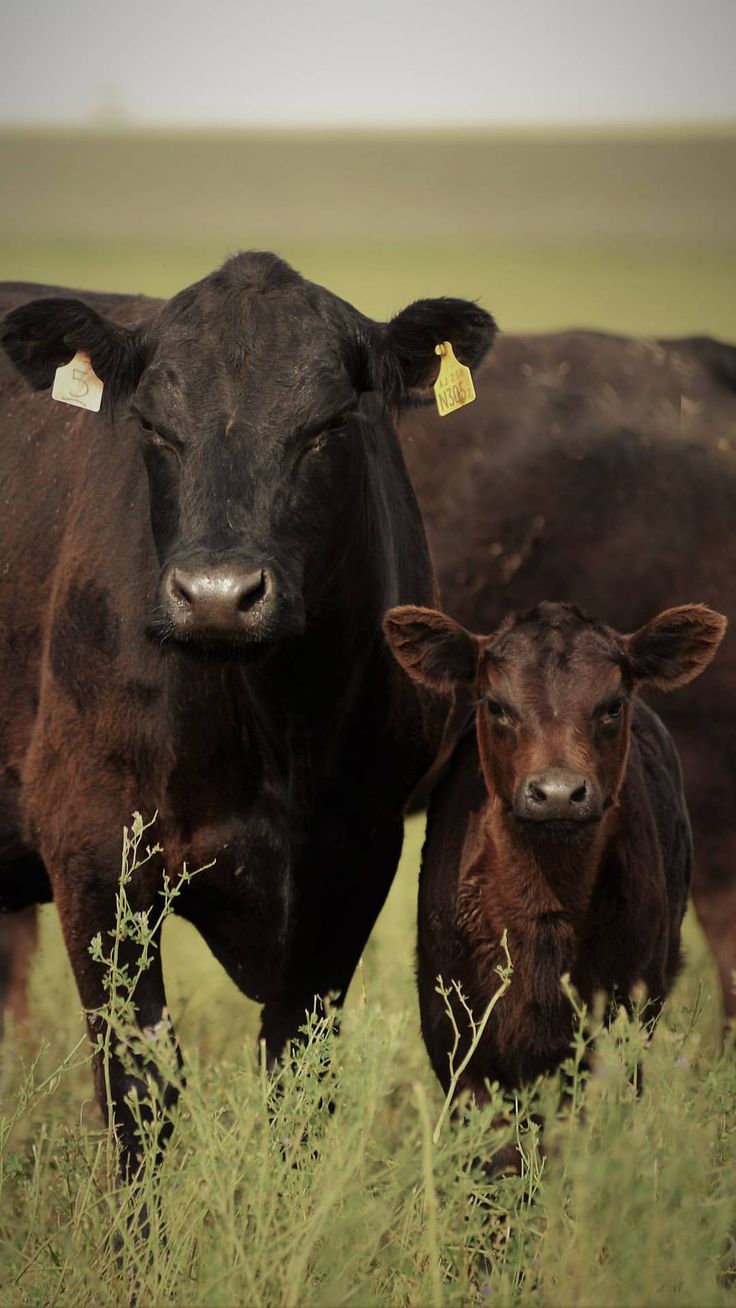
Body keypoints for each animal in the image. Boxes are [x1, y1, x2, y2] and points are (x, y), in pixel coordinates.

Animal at [0, 249, 499, 1171]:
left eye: (328, 424)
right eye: (153, 426)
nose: (217, 596)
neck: (275, 729)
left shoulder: (354, 856)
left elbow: (297, 1081)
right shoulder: (90, 843)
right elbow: (141, 1089)